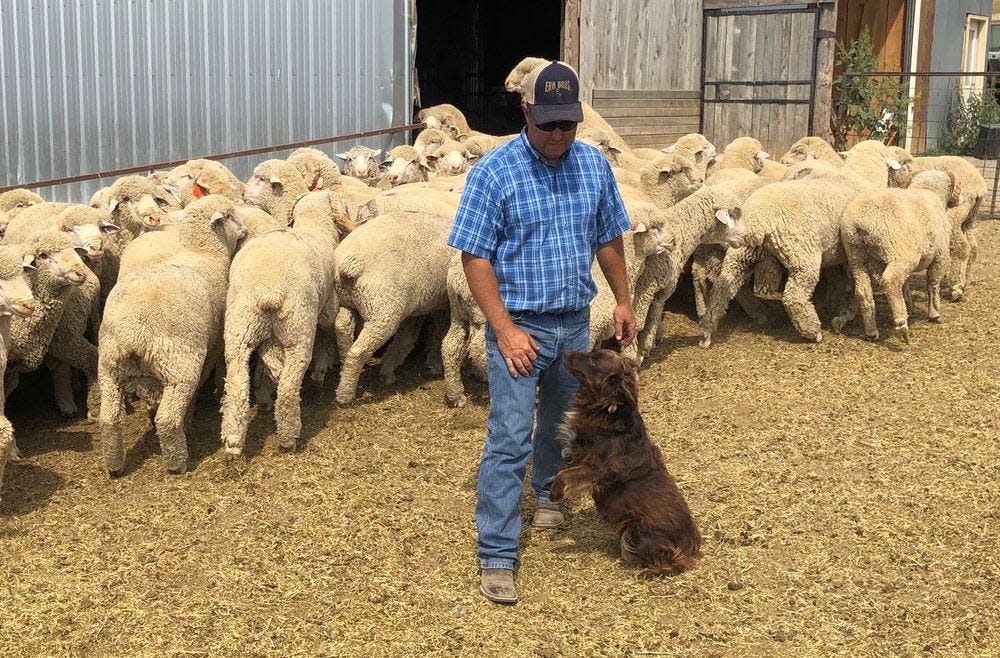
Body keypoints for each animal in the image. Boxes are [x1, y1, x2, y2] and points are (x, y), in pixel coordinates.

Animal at [97, 192, 246, 474]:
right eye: (230, 215)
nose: (245, 230)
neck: (203, 252)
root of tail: (133, 335)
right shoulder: (212, 346)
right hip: (178, 367)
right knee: (168, 418)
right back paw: (178, 462)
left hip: (109, 370)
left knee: (109, 419)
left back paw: (114, 466)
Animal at [556, 346, 704, 572]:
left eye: (594, 361)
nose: (565, 352)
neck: (606, 411)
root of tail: (692, 548)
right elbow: (563, 468)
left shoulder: (599, 469)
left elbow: (563, 475)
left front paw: (554, 493)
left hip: (636, 531)